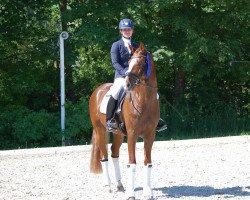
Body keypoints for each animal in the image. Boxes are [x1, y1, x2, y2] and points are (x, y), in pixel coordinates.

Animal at [89, 42, 160, 200]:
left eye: (140, 63)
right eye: (128, 62)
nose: (127, 84)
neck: (144, 100)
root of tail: (98, 90)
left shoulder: (150, 135)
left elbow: (148, 163)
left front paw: (147, 192)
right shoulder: (132, 135)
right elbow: (132, 163)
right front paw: (131, 194)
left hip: (118, 134)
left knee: (114, 153)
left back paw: (120, 185)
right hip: (100, 130)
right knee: (104, 156)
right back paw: (108, 186)